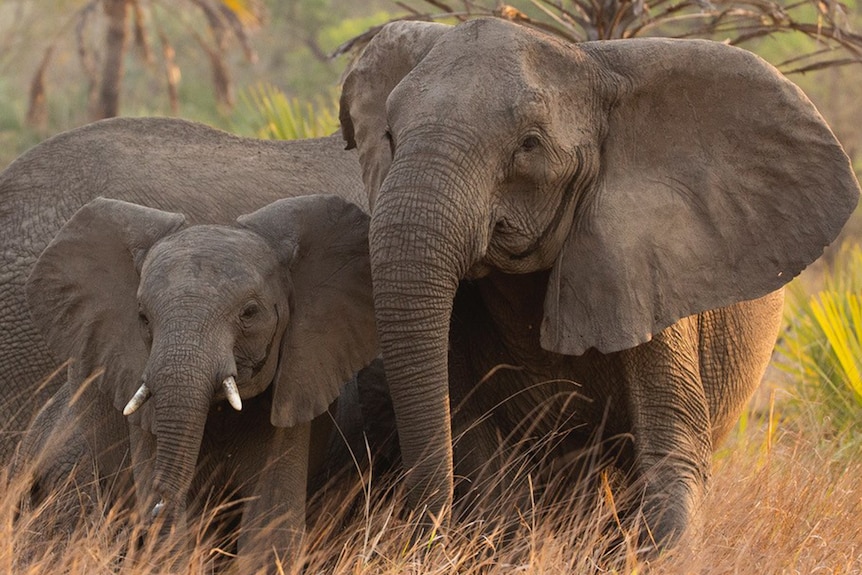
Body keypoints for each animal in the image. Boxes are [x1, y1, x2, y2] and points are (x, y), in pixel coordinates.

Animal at [342, 19, 862, 548]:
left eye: (529, 144)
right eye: (389, 136)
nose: (418, 531)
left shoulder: (645, 264)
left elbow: (672, 451)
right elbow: (474, 442)